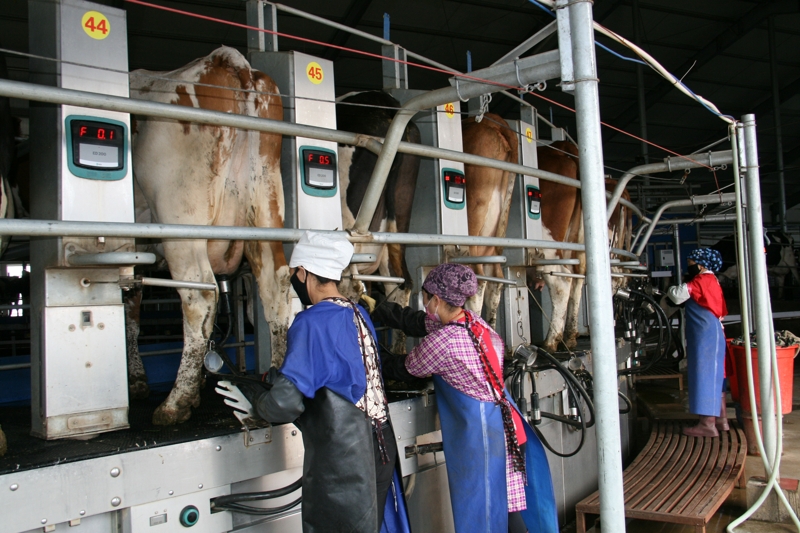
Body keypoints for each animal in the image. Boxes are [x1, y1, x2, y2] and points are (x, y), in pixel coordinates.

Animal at [126, 47, 292, 426]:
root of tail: (225, 60)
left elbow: (130, 315)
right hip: (265, 205)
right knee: (275, 282)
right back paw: (276, 373)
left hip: (180, 216)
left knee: (200, 293)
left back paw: (176, 401)